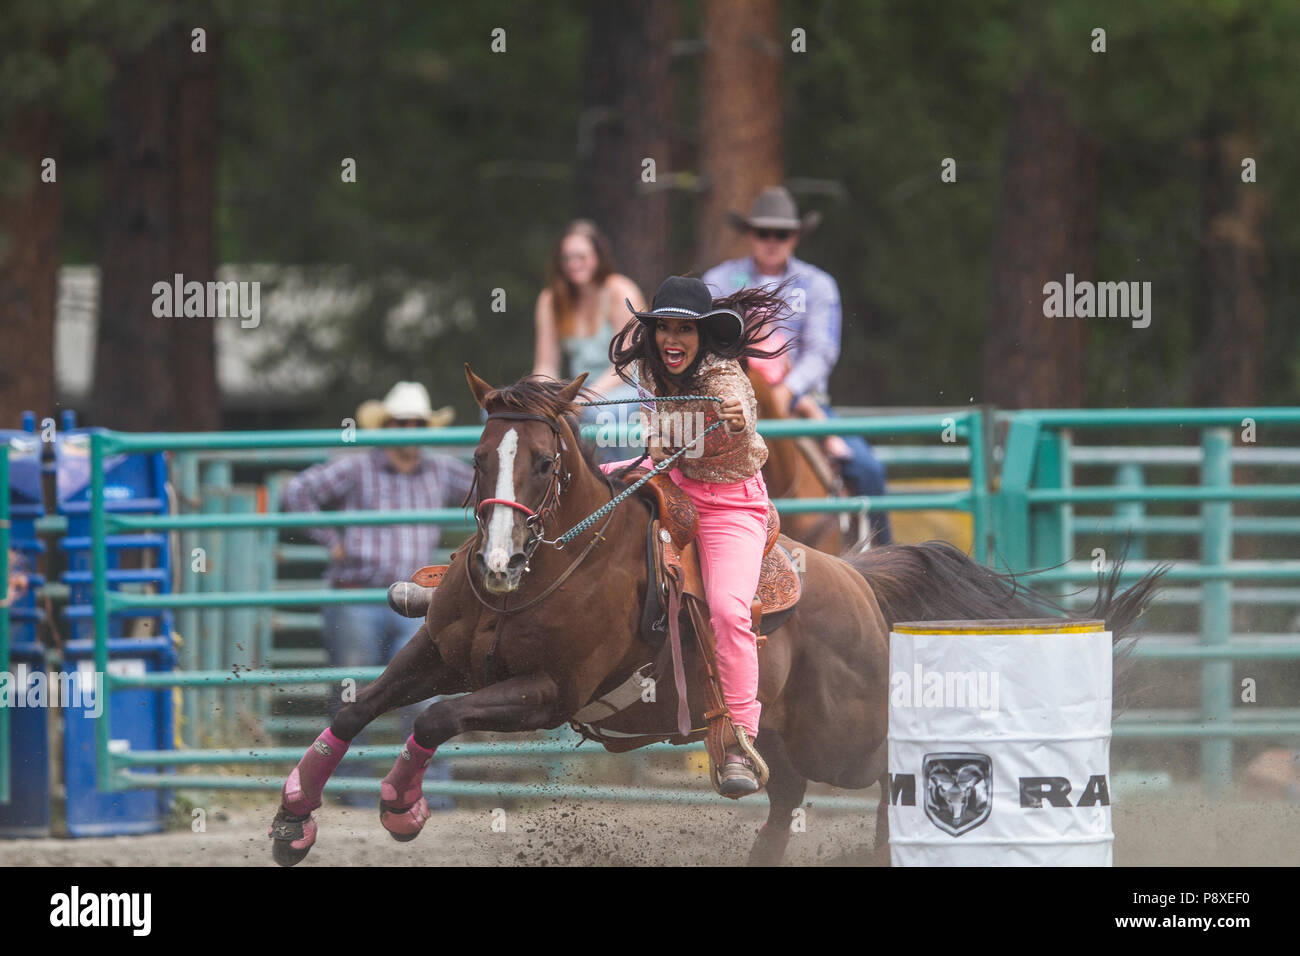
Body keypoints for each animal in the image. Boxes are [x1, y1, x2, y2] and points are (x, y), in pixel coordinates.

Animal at [269, 371, 1164, 868]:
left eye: (547, 463)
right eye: (482, 457)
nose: (493, 562)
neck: (553, 567)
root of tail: (861, 581)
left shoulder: (549, 693)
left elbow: (436, 718)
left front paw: (401, 807)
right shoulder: (437, 649)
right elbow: (358, 708)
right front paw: (293, 821)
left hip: (844, 737)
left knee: (896, 771)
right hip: (783, 741)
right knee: (781, 802)